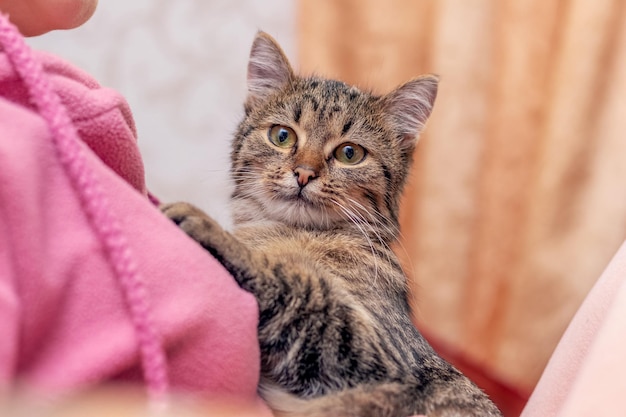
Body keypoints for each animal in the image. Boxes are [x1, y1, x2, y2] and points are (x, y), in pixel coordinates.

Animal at [162, 30, 502, 414]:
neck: (293, 233)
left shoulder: (377, 355)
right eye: (282, 136)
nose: (304, 173)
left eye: (349, 153)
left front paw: (214, 231)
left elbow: (298, 288)